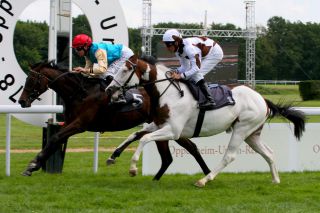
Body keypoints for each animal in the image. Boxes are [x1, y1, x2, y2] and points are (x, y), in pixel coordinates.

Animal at [18, 60, 211, 179]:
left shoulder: (80, 124)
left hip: (168, 126)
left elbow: (55, 138)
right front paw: (36, 165)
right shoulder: (69, 123)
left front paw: (32, 166)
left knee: (181, 151)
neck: (80, 92)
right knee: (180, 152)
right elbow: (56, 139)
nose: (21, 101)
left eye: (32, 79)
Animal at [107, 55, 304, 188]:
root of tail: (262, 99)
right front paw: (113, 156)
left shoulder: (174, 130)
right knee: (268, 153)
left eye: (125, 70)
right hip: (252, 134)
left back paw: (204, 180)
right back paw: (275, 179)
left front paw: (133, 168)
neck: (169, 93)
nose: (110, 89)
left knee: (230, 156)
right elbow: (135, 134)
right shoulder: (160, 124)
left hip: (242, 129)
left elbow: (144, 139)